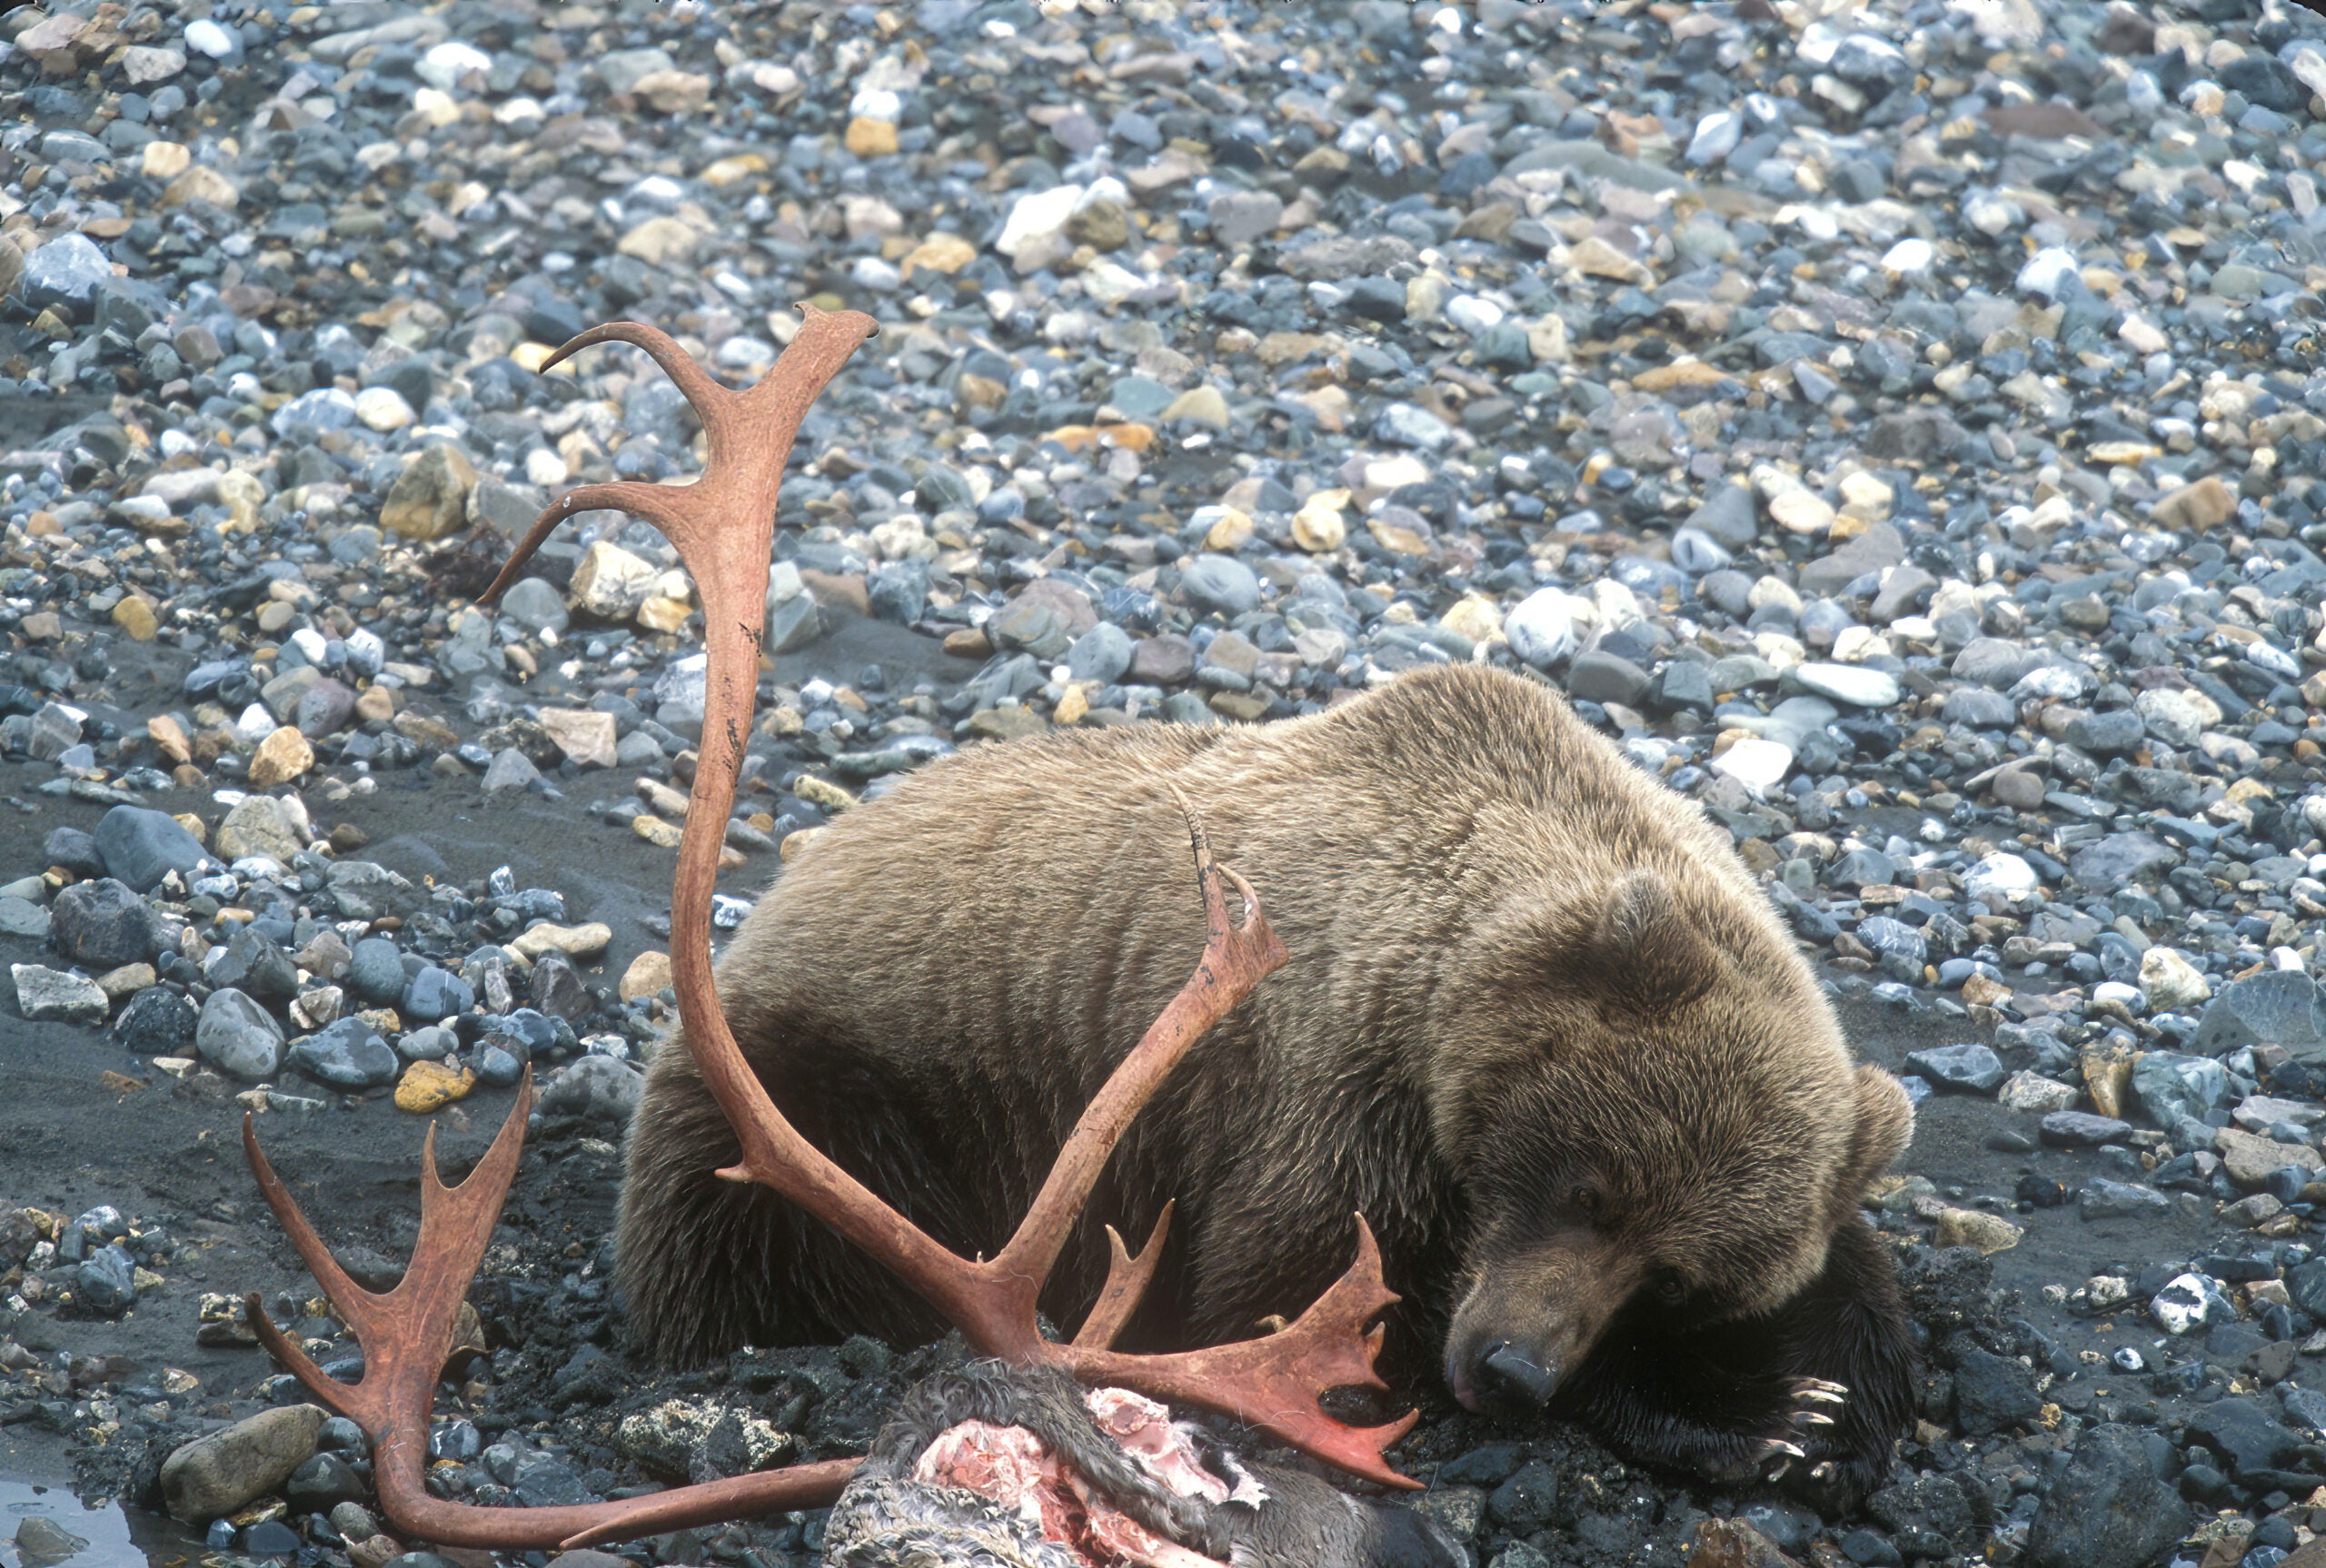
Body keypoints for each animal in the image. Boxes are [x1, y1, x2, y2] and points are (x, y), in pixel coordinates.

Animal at [615, 663, 1917, 1502]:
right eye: (1586, 1189)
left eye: (1674, 1275)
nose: (1512, 1367)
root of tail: (786, 879)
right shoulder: (1325, 1088)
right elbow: (1297, 1313)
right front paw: (1754, 1418)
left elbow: (1851, 1287)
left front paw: (1822, 1412)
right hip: (843, 1087)